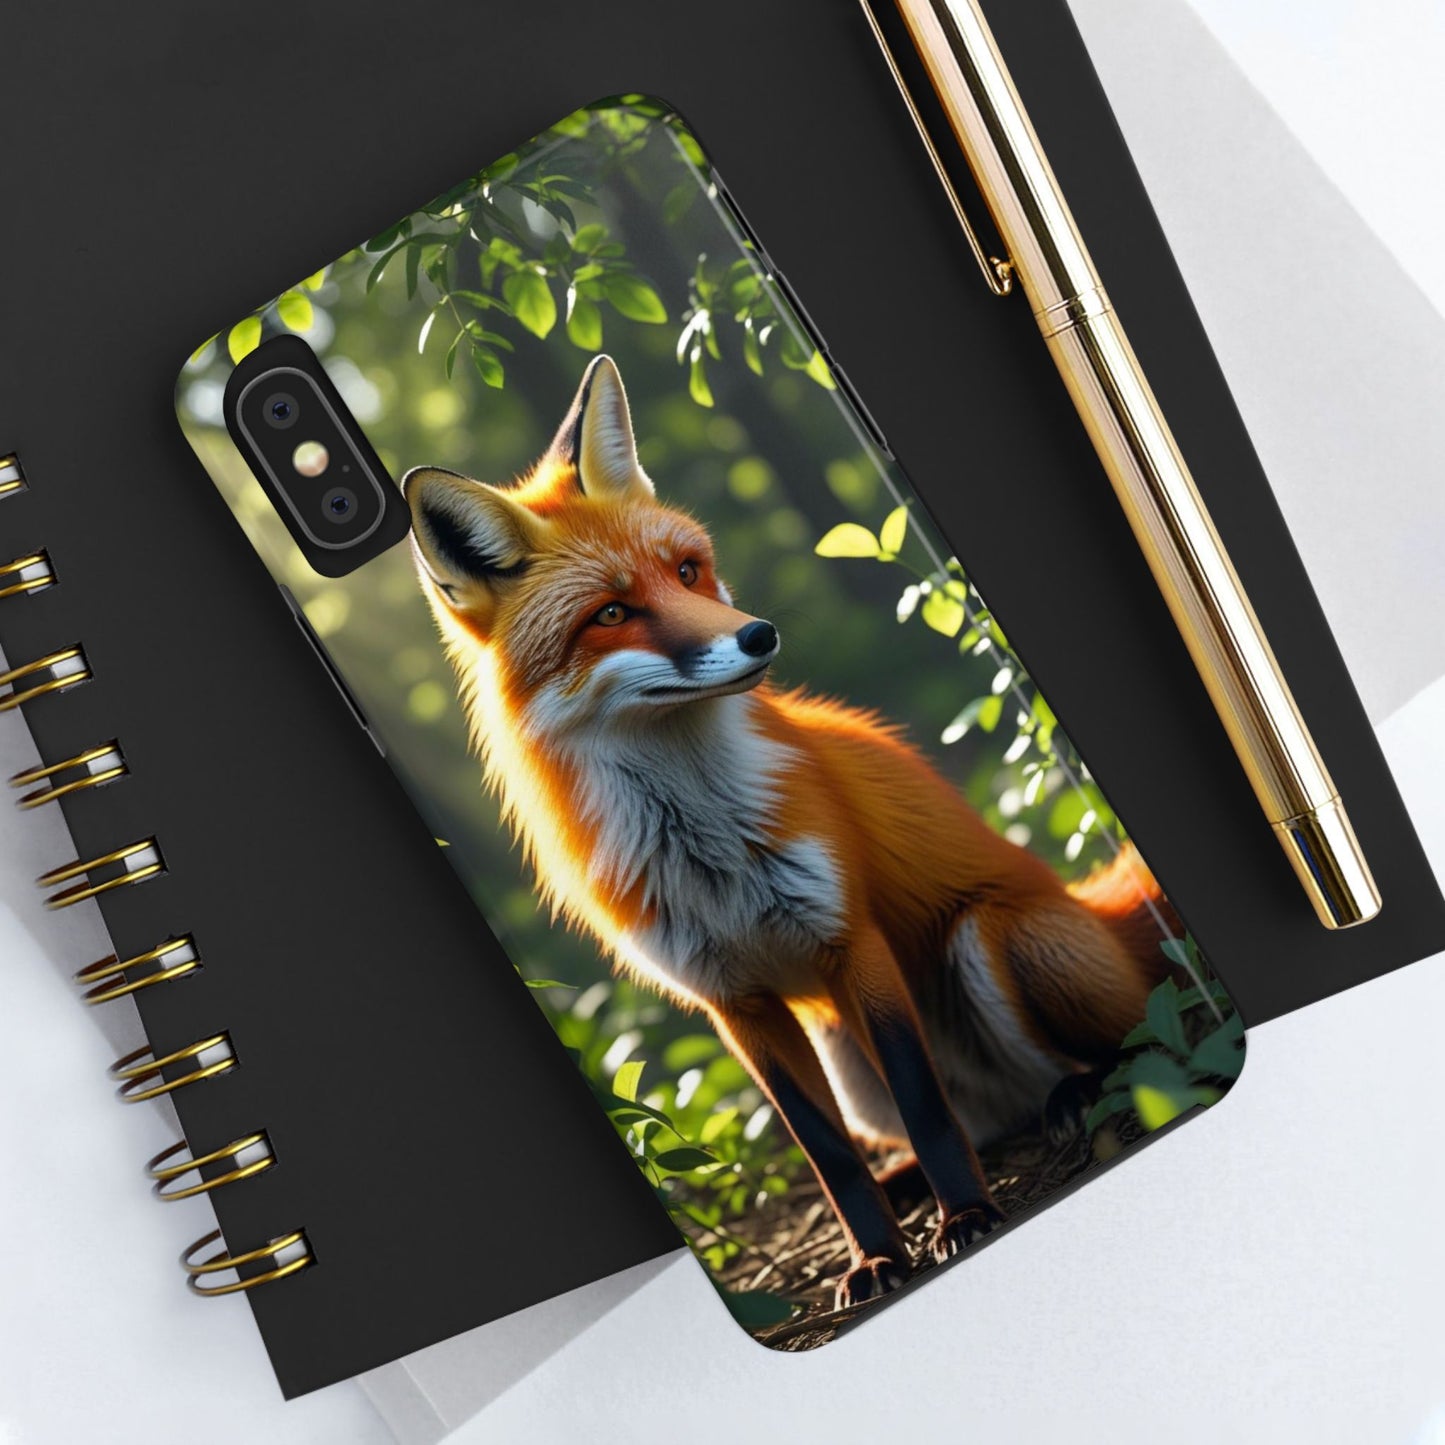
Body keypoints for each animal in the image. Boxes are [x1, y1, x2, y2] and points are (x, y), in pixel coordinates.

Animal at [403, 355, 1171, 1308]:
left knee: (1129, 1041)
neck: (704, 848)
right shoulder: (733, 1002)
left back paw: (1076, 1095)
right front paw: (876, 1257)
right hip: (847, 1057)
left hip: (992, 940)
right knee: (976, 1122)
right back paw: (918, 1176)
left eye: (688, 570)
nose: (758, 634)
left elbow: (925, 1105)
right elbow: (830, 1154)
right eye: (610, 614)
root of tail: (1093, 908)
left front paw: (964, 1218)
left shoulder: (849, 939)